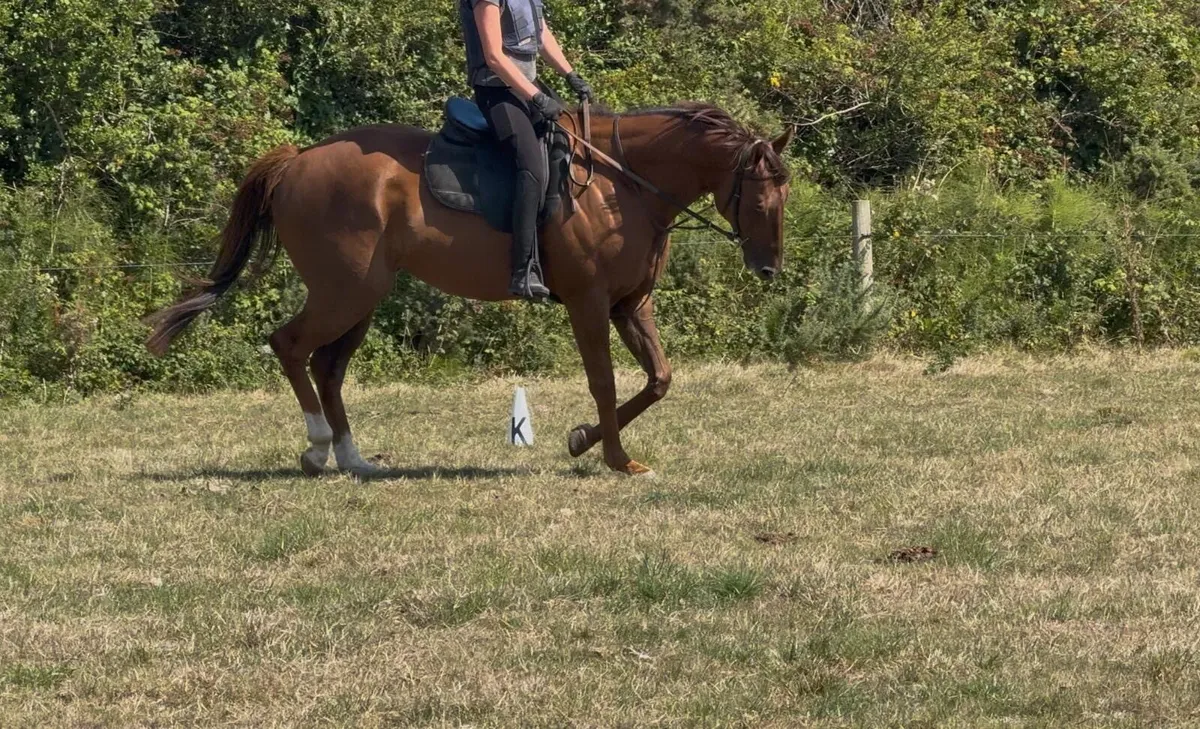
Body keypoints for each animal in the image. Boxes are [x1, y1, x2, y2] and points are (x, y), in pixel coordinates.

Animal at [146, 102, 793, 478]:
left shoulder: (630, 304)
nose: (769, 270)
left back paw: (353, 459)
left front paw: (581, 440)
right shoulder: (589, 303)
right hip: (344, 291)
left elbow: (659, 379)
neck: (621, 185)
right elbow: (605, 381)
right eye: (762, 199)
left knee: (328, 367)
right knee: (290, 346)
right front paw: (614, 458)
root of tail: (299, 159)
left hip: (362, 297)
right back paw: (316, 445)